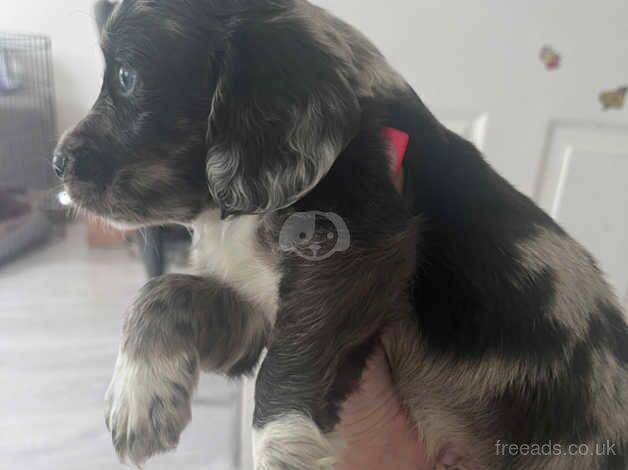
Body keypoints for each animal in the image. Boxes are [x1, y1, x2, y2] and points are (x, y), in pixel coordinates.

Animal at [52, 0, 624, 470]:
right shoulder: (254, 315)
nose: (56, 163)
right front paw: (137, 399)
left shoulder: (360, 245)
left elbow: (292, 358)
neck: (232, 216)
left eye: (126, 76)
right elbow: (162, 291)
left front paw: (281, 450)